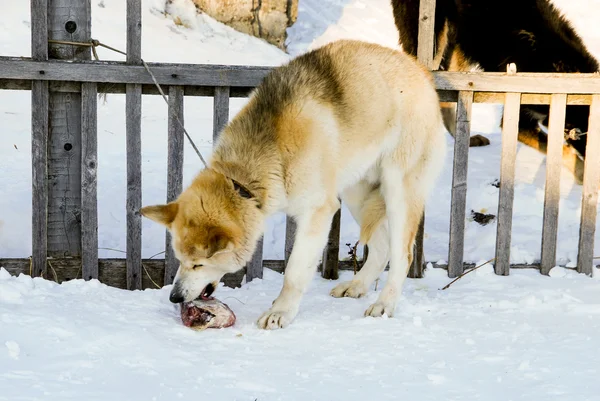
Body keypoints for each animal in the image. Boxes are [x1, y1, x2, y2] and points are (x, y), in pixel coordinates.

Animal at [142, 39, 446, 330]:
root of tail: (420, 70)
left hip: (398, 192)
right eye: (179, 260)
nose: (174, 297)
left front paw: (280, 312)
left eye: (198, 264)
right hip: (355, 194)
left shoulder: (317, 214)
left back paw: (385, 303)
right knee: (381, 248)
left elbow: (294, 272)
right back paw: (357, 285)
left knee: (403, 255)